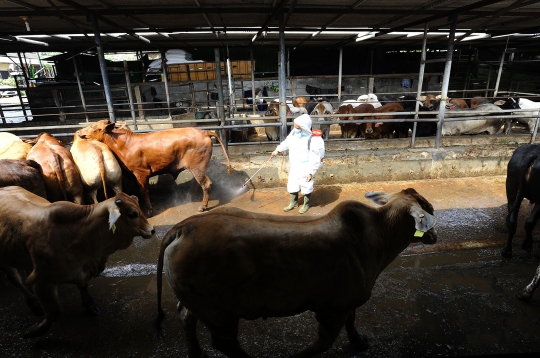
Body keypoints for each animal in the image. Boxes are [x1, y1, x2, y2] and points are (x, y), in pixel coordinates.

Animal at [0, 186, 156, 338]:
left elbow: (83, 286)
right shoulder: (41, 281)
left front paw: (90, 305)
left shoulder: (82, 269)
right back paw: (33, 303)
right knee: (15, 279)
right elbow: (55, 312)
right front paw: (33, 331)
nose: (152, 230)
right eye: (132, 214)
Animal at [77, 120, 232, 217]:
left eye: (93, 127)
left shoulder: (141, 172)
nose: (79, 131)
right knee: (198, 183)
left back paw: (203, 206)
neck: (125, 145)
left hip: (197, 166)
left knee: (206, 183)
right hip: (198, 168)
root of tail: (205, 132)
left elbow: (144, 190)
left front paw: (149, 210)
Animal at [155, 187, 434, 358]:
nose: (433, 235)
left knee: (186, 316)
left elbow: (351, 322)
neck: (379, 235)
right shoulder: (333, 309)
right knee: (225, 342)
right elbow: (324, 341)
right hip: (220, 313)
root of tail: (183, 227)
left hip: (199, 304)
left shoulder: (347, 304)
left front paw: (359, 343)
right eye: (429, 210)